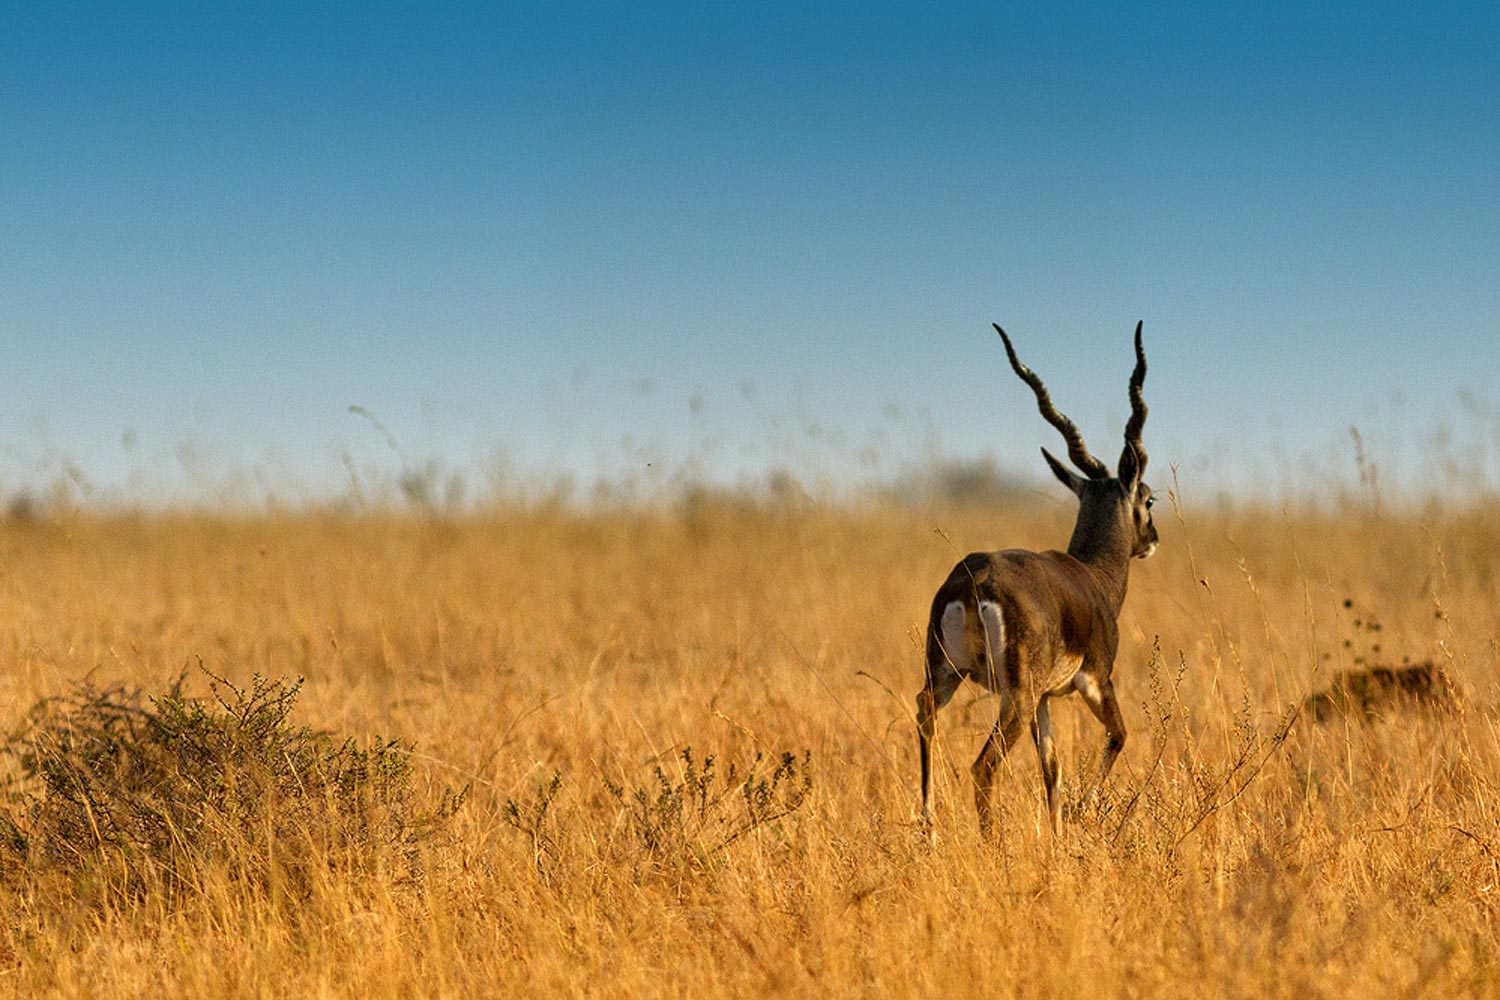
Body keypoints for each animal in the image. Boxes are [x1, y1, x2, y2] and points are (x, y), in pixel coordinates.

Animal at [912, 325, 1158, 839]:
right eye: (1149, 498)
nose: (1152, 539)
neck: (1093, 578)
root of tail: (973, 582)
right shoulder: (1096, 681)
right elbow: (1118, 737)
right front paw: (1084, 813)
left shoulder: (1045, 698)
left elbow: (1053, 771)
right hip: (1013, 698)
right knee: (983, 766)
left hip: (947, 674)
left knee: (925, 714)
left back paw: (930, 826)